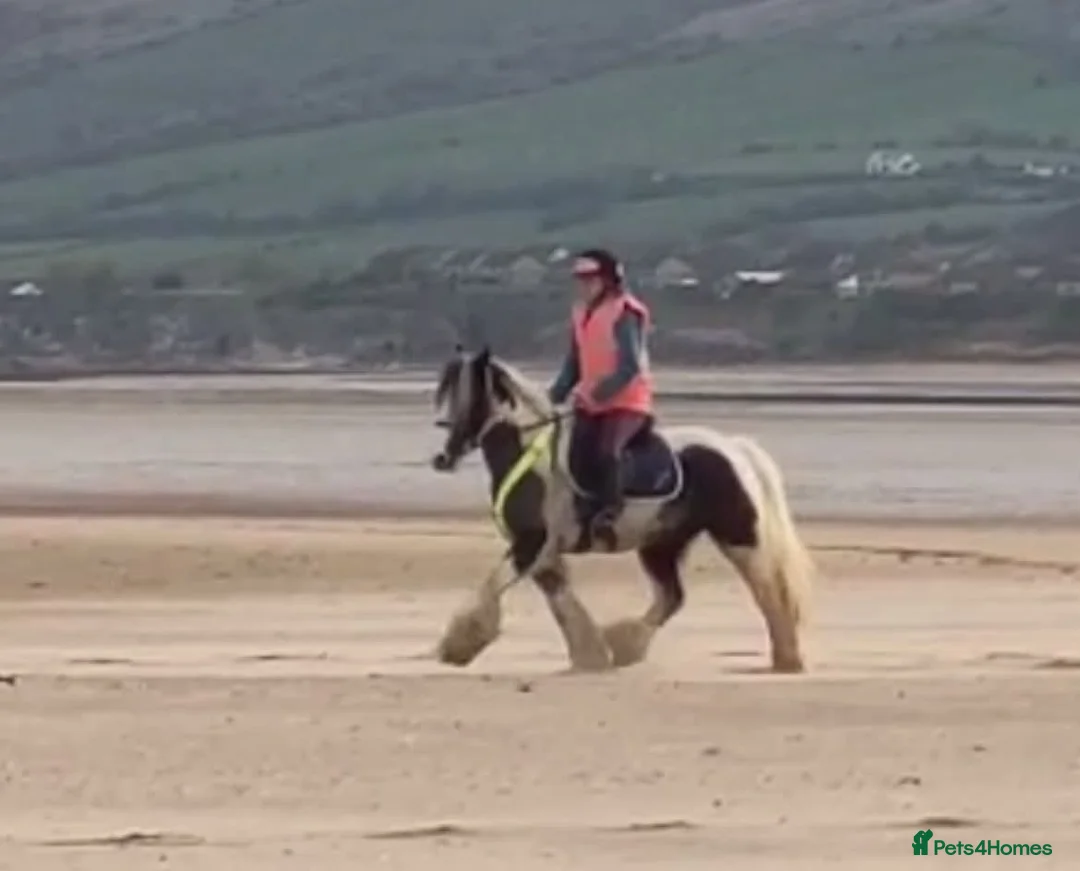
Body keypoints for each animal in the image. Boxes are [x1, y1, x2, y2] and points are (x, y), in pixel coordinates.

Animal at [429, 345, 814, 674]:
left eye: (471, 395)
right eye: (447, 392)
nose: (443, 458)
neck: (528, 454)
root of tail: (733, 447)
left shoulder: (530, 543)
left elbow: (492, 585)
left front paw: (458, 645)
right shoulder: (541, 551)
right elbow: (561, 600)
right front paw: (590, 654)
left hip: (739, 537)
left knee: (767, 589)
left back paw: (787, 658)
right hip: (660, 545)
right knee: (672, 598)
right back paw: (627, 646)